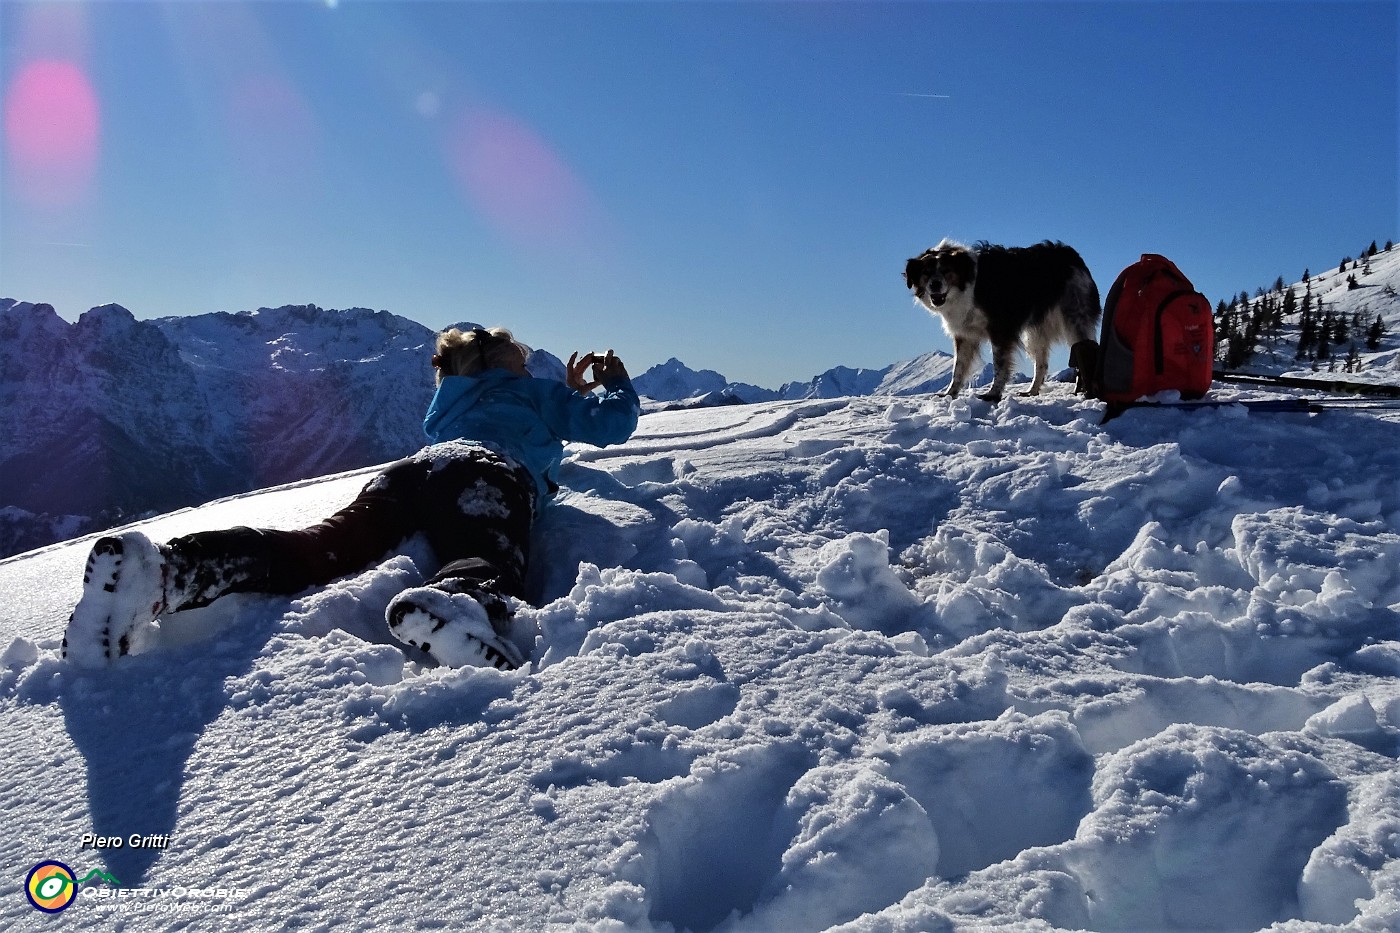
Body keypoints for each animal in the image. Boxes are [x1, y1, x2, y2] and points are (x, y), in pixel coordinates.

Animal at [901, 238, 1097, 397]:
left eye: (946, 271)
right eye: (926, 273)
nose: (934, 285)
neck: (966, 285)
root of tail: (1071, 254)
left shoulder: (1000, 329)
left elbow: (999, 364)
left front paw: (993, 394)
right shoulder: (964, 334)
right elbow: (958, 367)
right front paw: (950, 394)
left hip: (1075, 318)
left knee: (1086, 348)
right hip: (1035, 332)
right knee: (1041, 363)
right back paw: (1031, 391)